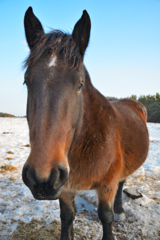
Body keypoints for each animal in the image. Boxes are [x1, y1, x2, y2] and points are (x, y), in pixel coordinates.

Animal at [22, 6, 149, 239]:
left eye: (80, 84)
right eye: (26, 81)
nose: (42, 178)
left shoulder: (106, 186)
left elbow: (106, 217)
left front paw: (112, 216)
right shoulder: (64, 188)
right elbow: (67, 217)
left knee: (122, 182)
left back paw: (120, 210)